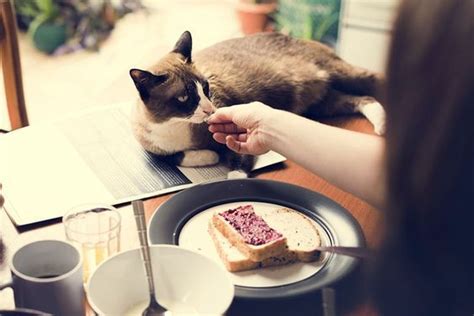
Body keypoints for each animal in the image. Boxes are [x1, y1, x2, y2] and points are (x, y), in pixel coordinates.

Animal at [129, 30, 386, 175]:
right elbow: (172, 157)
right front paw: (210, 156)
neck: (175, 126)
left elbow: (237, 170)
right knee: (362, 99)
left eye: (205, 88)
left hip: (343, 74)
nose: (210, 109)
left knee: (374, 83)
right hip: (322, 106)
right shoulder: (151, 149)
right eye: (184, 97)